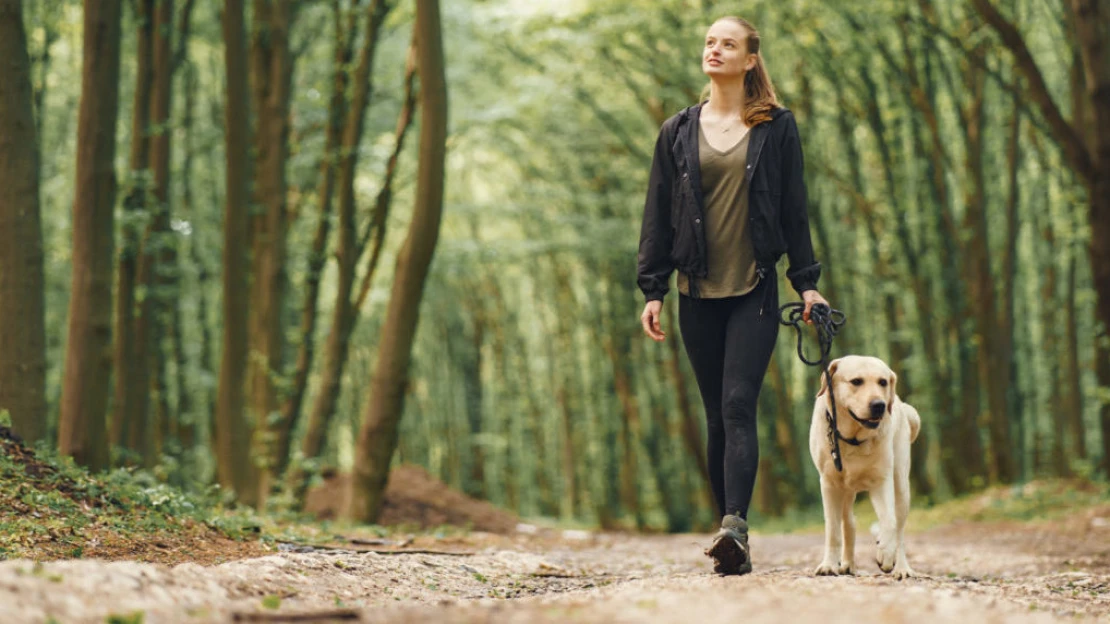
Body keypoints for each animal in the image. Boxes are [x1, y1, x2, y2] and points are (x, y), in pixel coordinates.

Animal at [808, 355, 919, 577]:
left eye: (883, 382)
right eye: (856, 381)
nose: (879, 405)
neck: (853, 440)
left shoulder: (882, 481)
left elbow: (890, 521)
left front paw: (885, 553)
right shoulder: (829, 484)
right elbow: (833, 530)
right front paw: (829, 565)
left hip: (901, 485)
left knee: (899, 529)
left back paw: (901, 567)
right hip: (845, 491)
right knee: (849, 523)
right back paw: (847, 564)